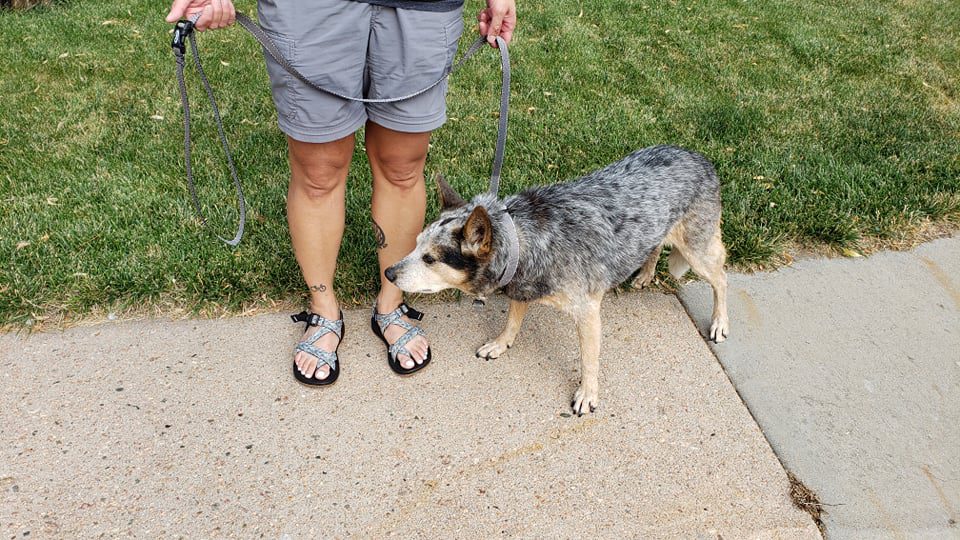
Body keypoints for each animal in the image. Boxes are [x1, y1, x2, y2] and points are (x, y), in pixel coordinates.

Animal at [386, 143, 732, 414]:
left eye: (430, 258)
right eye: (415, 244)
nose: (389, 272)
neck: (525, 240)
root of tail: (697, 156)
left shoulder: (588, 313)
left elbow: (589, 360)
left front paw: (588, 394)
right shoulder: (523, 287)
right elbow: (512, 322)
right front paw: (500, 344)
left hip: (697, 250)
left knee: (721, 277)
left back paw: (720, 322)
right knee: (656, 244)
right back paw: (645, 273)